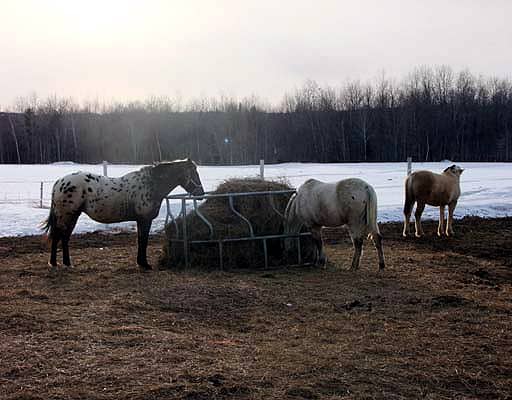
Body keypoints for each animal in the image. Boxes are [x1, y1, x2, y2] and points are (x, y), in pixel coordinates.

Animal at [43, 158, 204, 270]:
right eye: (194, 173)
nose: (200, 193)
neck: (150, 184)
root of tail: (59, 182)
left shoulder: (140, 220)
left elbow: (140, 240)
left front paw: (141, 262)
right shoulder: (144, 220)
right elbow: (143, 240)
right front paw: (145, 264)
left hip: (72, 216)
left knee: (64, 238)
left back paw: (66, 263)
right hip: (66, 215)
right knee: (58, 236)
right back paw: (55, 263)